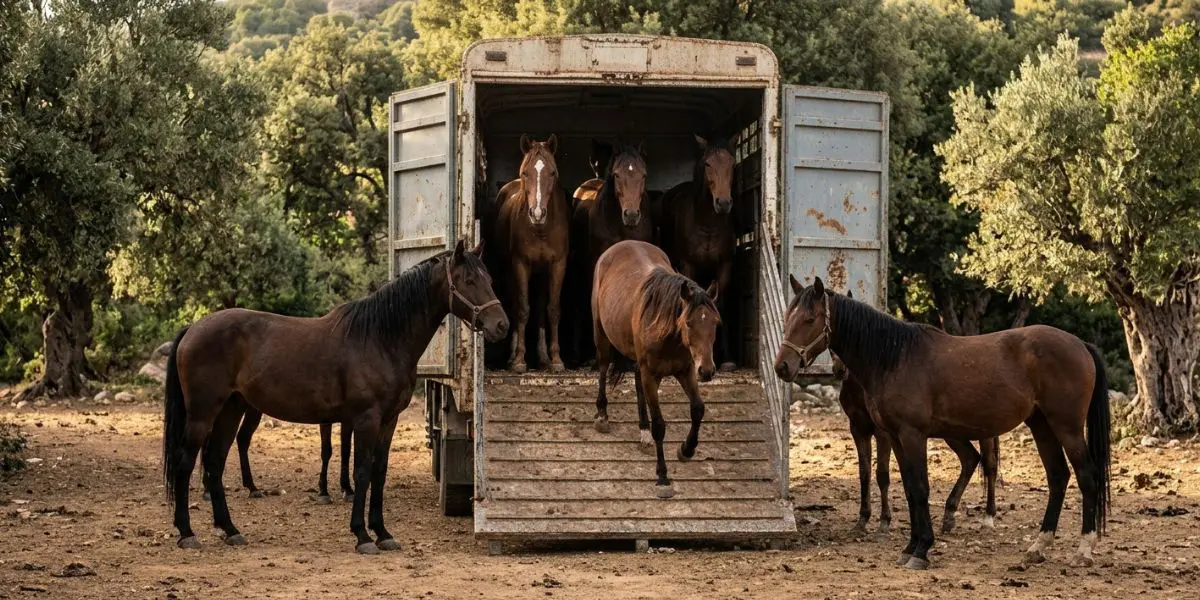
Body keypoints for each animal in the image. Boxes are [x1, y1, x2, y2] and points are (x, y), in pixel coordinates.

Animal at [163, 240, 508, 554]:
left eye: (490, 278)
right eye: (469, 280)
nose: (501, 326)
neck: (380, 338)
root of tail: (193, 328)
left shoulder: (388, 421)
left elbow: (379, 473)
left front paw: (383, 533)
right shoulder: (366, 419)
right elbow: (362, 471)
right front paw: (362, 535)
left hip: (230, 410)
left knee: (214, 463)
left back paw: (230, 529)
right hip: (203, 414)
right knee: (186, 462)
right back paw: (186, 533)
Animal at [495, 134, 570, 372]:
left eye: (553, 172)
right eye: (524, 173)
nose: (537, 213)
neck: (541, 230)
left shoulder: (557, 265)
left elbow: (552, 309)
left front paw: (556, 359)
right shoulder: (520, 265)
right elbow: (522, 309)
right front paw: (519, 359)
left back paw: (543, 357)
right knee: (515, 304)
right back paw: (511, 356)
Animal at [592, 240, 720, 499]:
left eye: (715, 322)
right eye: (688, 323)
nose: (707, 371)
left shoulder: (685, 370)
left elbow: (698, 409)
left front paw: (686, 449)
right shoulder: (652, 375)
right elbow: (660, 425)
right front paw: (662, 478)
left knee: (637, 383)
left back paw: (643, 432)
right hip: (601, 335)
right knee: (603, 367)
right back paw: (603, 415)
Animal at [659, 134, 738, 371]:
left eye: (732, 164)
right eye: (708, 164)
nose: (723, 203)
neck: (707, 223)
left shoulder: (725, 265)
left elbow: (721, 304)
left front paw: (727, 358)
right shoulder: (688, 265)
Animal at [826, 292, 1000, 534]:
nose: (840, 369)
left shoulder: (883, 432)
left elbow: (882, 474)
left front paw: (884, 520)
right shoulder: (858, 429)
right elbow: (864, 473)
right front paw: (863, 519)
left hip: (984, 431)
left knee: (990, 465)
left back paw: (988, 515)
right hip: (953, 433)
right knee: (970, 459)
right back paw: (949, 515)